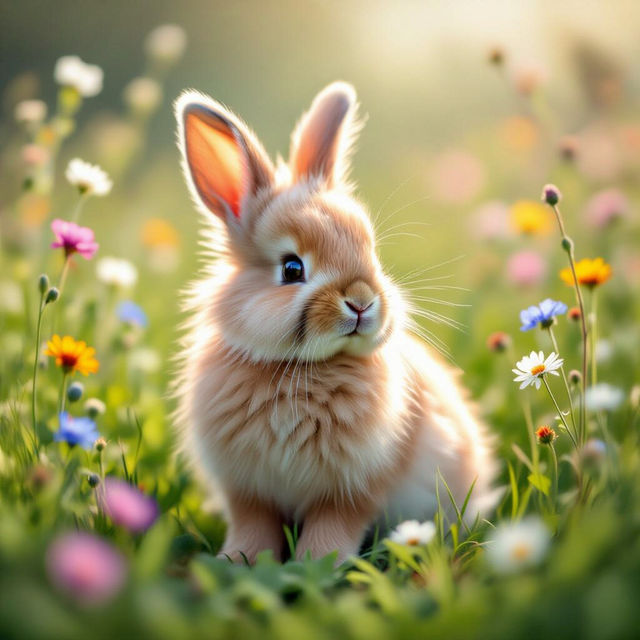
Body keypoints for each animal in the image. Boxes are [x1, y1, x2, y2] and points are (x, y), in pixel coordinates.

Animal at [173, 82, 498, 565]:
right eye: (292, 268)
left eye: (371, 252)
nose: (362, 302)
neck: (300, 369)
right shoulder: (247, 489)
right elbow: (253, 525)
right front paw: (239, 560)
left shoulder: (353, 488)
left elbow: (333, 527)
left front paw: (318, 564)